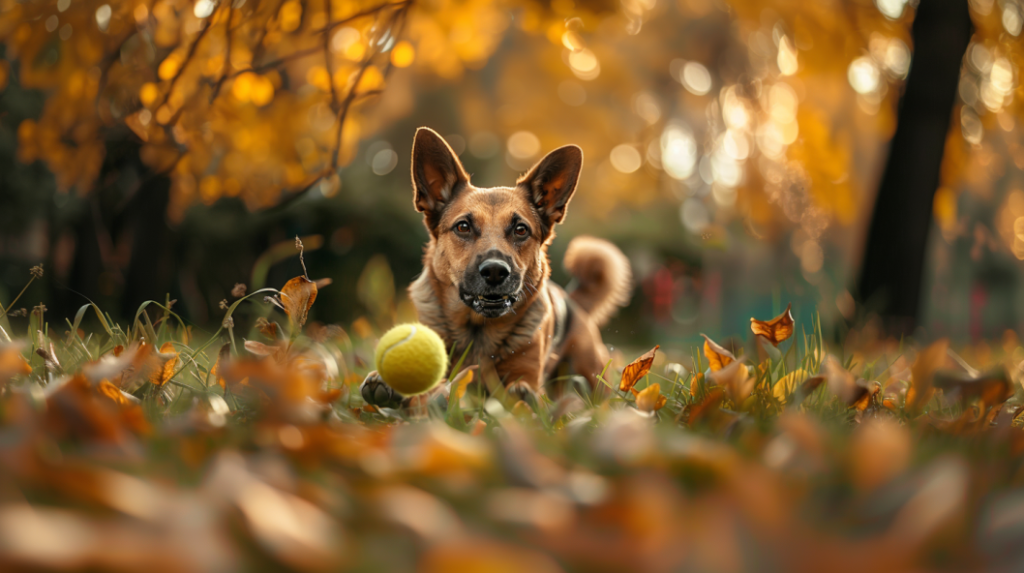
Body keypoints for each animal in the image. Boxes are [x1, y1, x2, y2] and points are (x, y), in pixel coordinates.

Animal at [360, 129, 630, 407]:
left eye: (521, 229)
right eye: (463, 226)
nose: (495, 272)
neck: (478, 333)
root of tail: (573, 300)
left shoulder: (527, 373)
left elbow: (522, 388)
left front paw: (520, 395)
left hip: (592, 376)